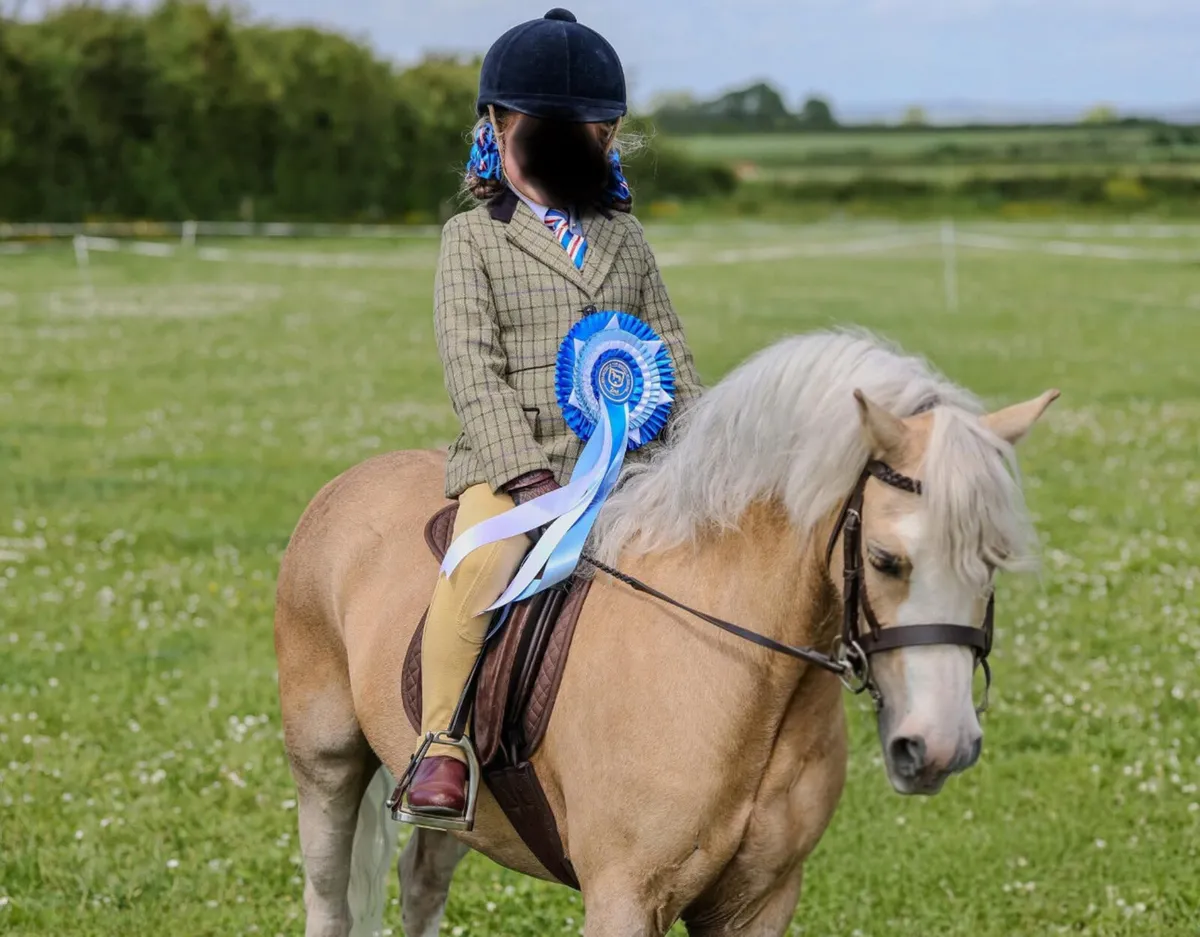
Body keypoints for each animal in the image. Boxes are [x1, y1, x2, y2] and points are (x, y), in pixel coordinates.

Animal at [274, 329, 1058, 937]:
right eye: (888, 560)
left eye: (992, 560)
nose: (940, 746)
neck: (739, 675)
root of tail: (342, 487)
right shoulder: (624, 897)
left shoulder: (759, 904)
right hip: (327, 765)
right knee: (328, 899)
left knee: (423, 880)